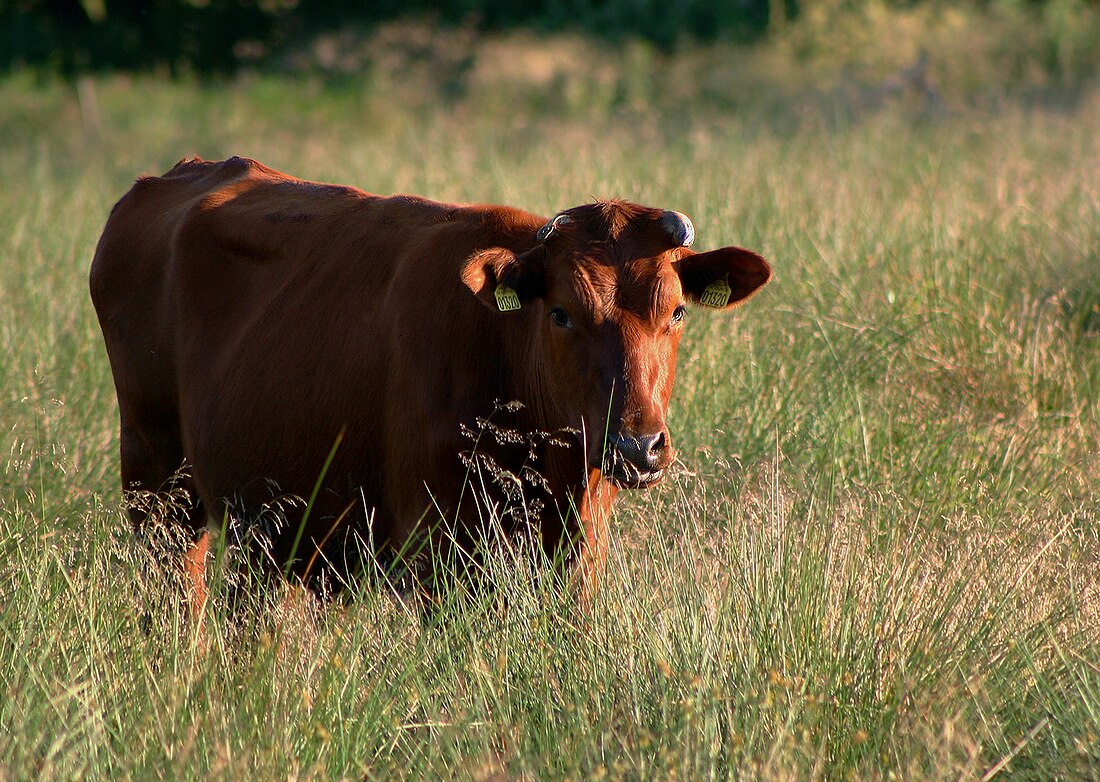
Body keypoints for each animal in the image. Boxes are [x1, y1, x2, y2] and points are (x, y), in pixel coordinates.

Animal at [90, 157, 770, 611]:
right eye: (560, 314)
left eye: (676, 311)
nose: (637, 447)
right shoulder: (434, 547)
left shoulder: (580, 546)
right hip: (158, 485)